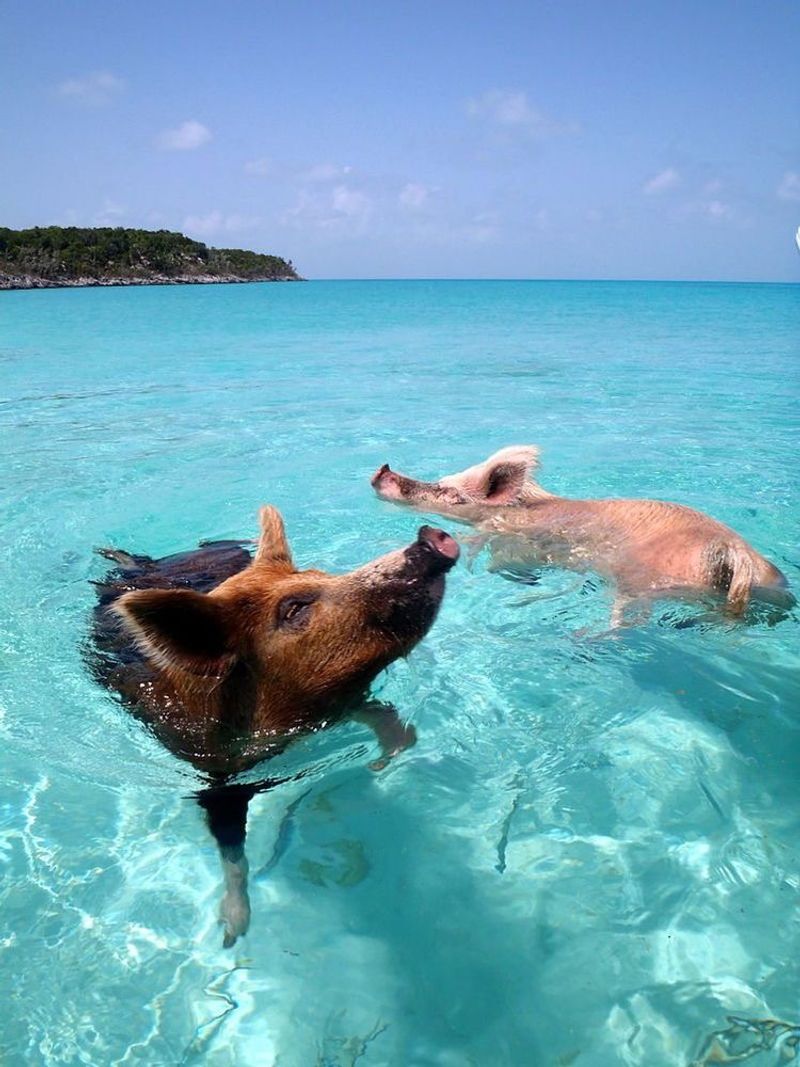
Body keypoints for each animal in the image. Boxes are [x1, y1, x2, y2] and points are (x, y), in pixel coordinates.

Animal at [90, 506, 459, 945]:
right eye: (294, 609)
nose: (433, 537)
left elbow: (386, 718)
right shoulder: (216, 778)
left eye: (321, 574)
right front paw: (233, 934)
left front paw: (383, 762)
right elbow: (232, 850)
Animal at [372, 446, 791, 627]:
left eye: (448, 491)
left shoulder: (511, 540)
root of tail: (736, 554)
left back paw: (584, 638)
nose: (382, 470)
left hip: (639, 580)